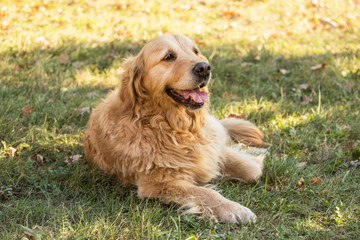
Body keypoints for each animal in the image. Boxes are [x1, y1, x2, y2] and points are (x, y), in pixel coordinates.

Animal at [83, 33, 264, 223]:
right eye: (168, 56)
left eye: (195, 51)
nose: (204, 68)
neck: (174, 127)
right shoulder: (159, 183)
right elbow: (206, 192)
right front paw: (234, 209)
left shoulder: (210, 150)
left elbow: (252, 170)